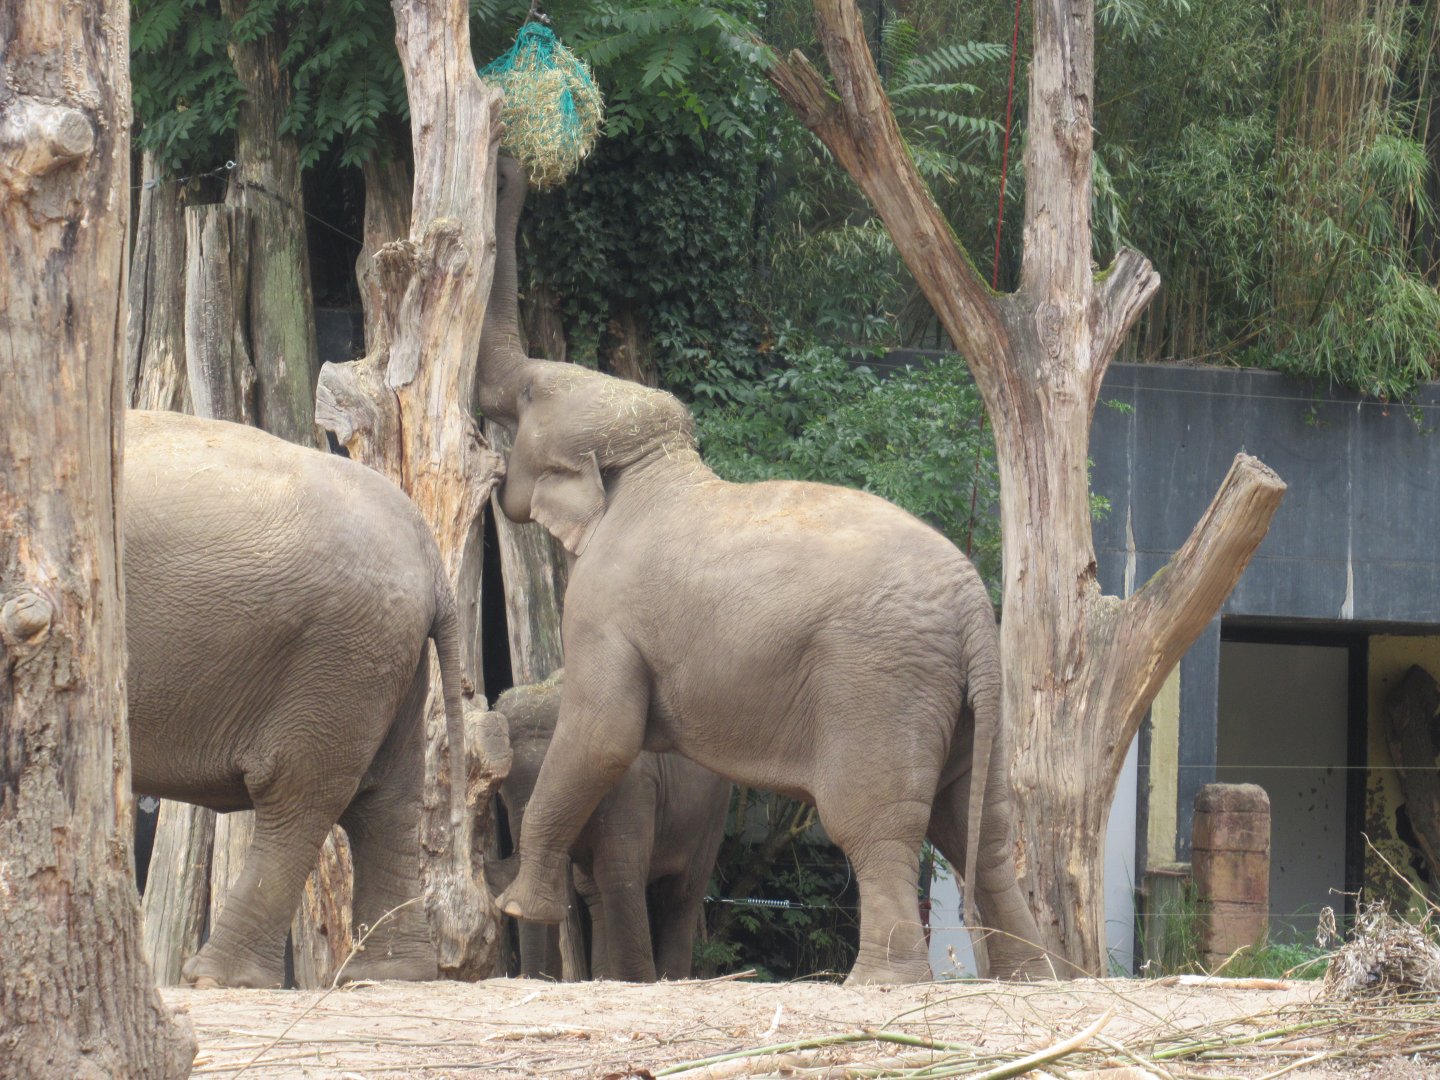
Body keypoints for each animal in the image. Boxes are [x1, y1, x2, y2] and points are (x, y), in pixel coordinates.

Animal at [124, 410, 470, 989]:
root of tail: (428, 554)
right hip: (385, 654)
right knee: (387, 798)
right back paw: (389, 973)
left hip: (337, 653)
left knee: (296, 794)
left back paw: (215, 977)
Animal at [497, 673, 731, 982]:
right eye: (501, 791)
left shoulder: (633, 786)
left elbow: (620, 870)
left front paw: (639, 982)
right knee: (593, 891)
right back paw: (606, 976)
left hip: (713, 812)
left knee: (682, 893)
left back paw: (669, 979)